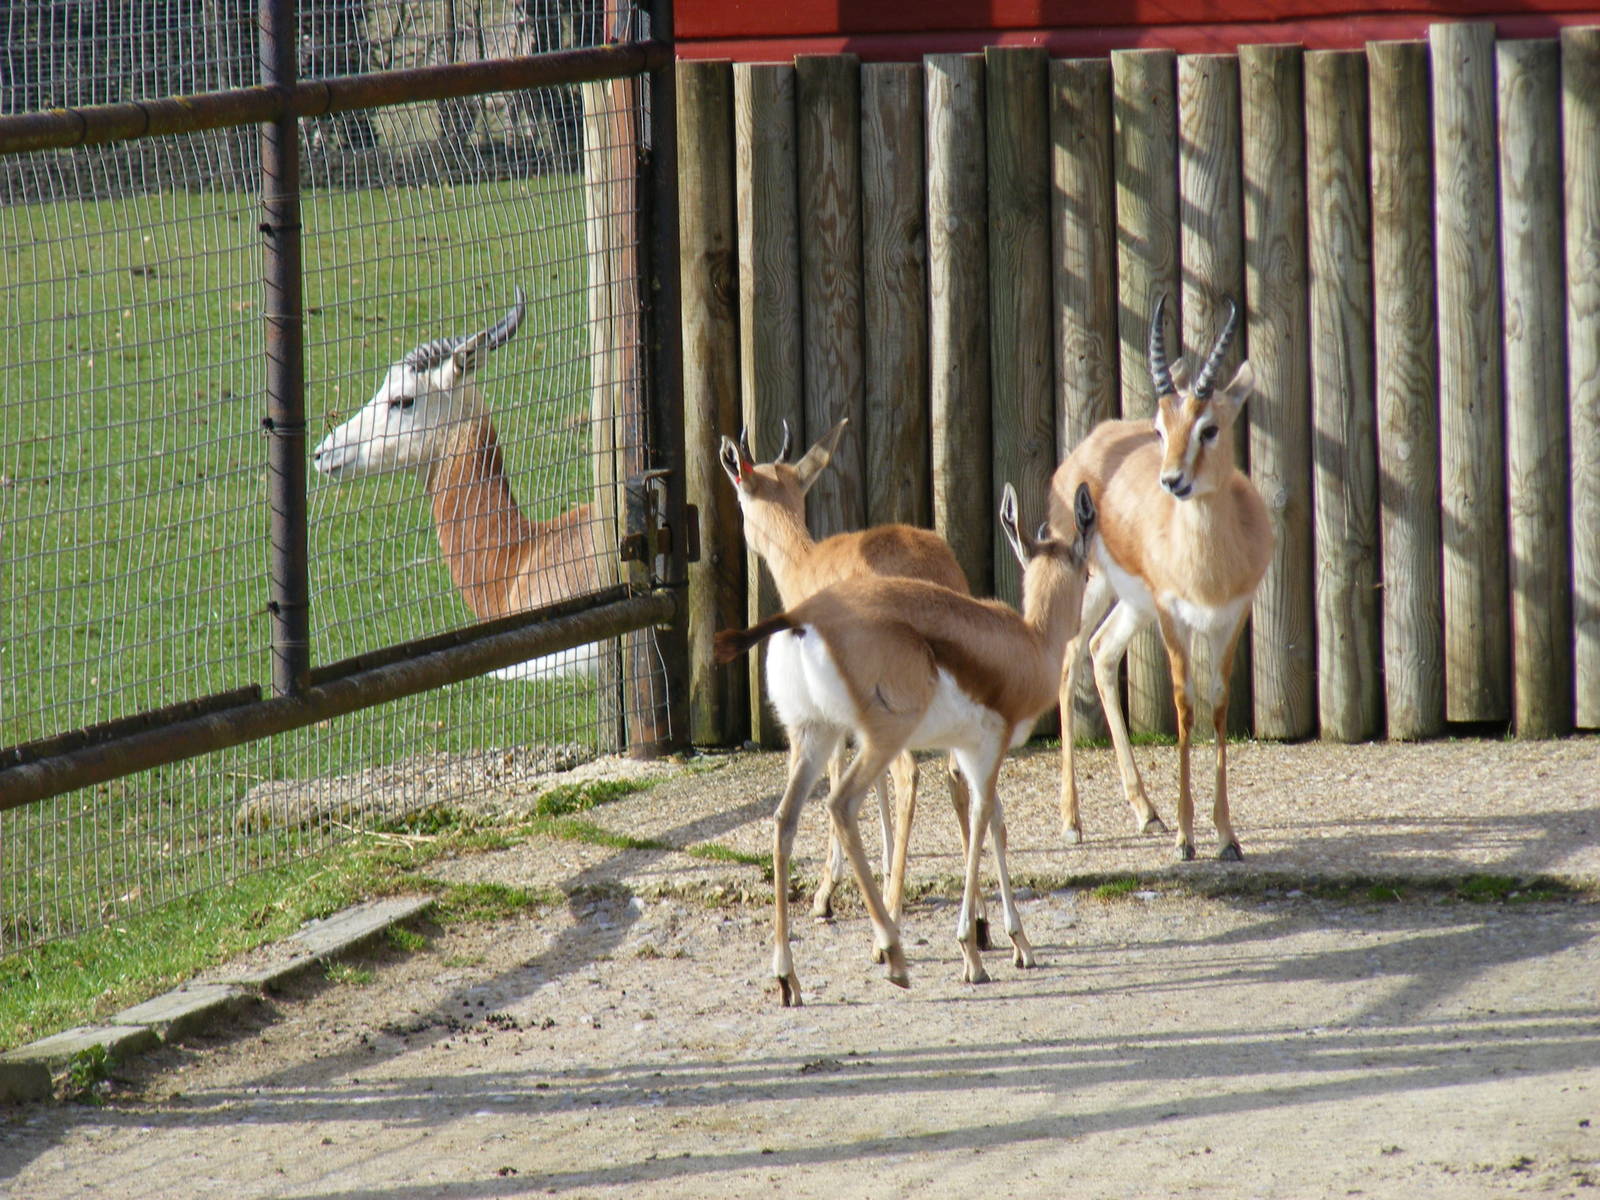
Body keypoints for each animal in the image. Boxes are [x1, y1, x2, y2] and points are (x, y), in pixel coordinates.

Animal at [715, 482, 1098, 1005]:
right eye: (1087, 572)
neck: (1029, 644)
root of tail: (803, 618)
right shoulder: (985, 750)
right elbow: (982, 820)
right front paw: (972, 952)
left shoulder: (968, 752)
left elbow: (996, 825)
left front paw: (1019, 944)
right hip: (881, 740)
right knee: (841, 804)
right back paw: (893, 955)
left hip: (814, 734)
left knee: (784, 819)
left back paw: (787, 977)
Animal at [720, 421, 999, 943]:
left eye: (741, 497)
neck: (805, 563)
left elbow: (838, 776)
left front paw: (827, 895)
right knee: (962, 777)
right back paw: (982, 924)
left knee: (910, 775)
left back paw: (894, 913)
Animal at [1051, 295, 1272, 860]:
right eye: (1159, 428)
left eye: (1208, 427)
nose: (1172, 481)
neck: (1209, 566)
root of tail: (1090, 444)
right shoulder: (1175, 615)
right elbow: (1184, 705)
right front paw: (1186, 837)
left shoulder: (1231, 616)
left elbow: (1217, 703)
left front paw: (1226, 836)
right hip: (1092, 586)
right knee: (1068, 658)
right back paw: (1072, 821)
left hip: (1132, 602)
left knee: (1102, 650)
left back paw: (1145, 810)